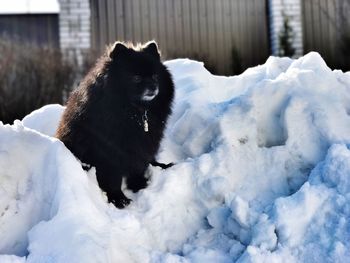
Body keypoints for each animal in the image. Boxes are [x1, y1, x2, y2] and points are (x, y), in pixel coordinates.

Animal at [56, 41, 175, 208]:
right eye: (136, 77)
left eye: (155, 76)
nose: (153, 86)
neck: (135, 111)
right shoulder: (108, 152)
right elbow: (112, 178)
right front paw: (119, 199)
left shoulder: (141, 146)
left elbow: (139, 166)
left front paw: (140, 184)